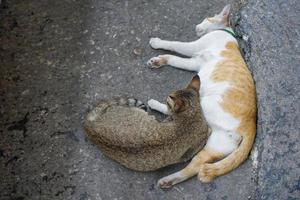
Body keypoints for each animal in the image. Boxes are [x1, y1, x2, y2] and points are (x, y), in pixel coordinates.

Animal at [146, 5, 256, 189]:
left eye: (207, 19)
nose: (197, 26)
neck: (227, 32)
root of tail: (251, 126)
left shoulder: (192, 48)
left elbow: (175, 45)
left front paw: (157, 42)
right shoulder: (193, 62)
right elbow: (174, 59)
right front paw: (158, 61)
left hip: (204, 101)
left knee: (178, 111)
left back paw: (157, 104)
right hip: (215, 146)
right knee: (196, 165)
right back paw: (168, 180)